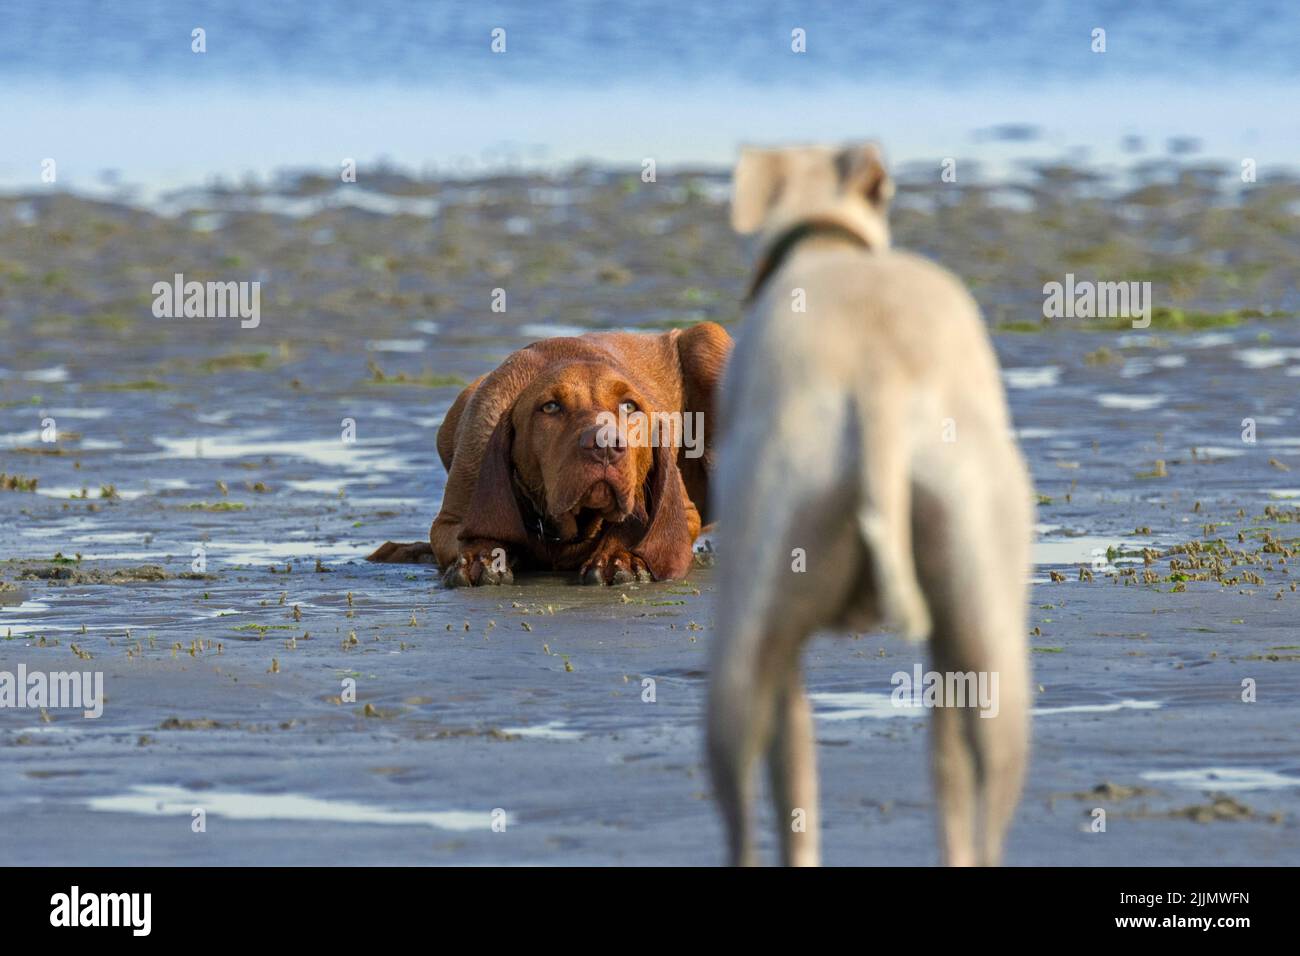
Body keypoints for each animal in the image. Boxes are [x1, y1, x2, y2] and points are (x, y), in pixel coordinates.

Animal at [369, 325, 733, 587]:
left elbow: (636, 526)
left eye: (630, 406)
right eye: (550, 407)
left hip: (706, 338)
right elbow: (472, 534)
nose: (605, 446)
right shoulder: (449, 520)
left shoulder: (685, 513)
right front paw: (482, 556)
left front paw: (620, 557)